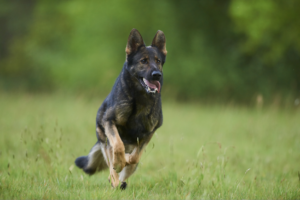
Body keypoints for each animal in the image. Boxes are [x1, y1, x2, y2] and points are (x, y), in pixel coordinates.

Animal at [73, 28, 165, 189]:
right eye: (143, 61)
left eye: (158, 61)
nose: (157, 75)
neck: (139, 97)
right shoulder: (110, 122)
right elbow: (118, 145)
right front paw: (119, 161)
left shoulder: (149, 133)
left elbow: (134, 157)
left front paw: (126, 160)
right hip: (104, 140)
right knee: (111, 162)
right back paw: (116, 179)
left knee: (129, 167)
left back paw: (121, 180)